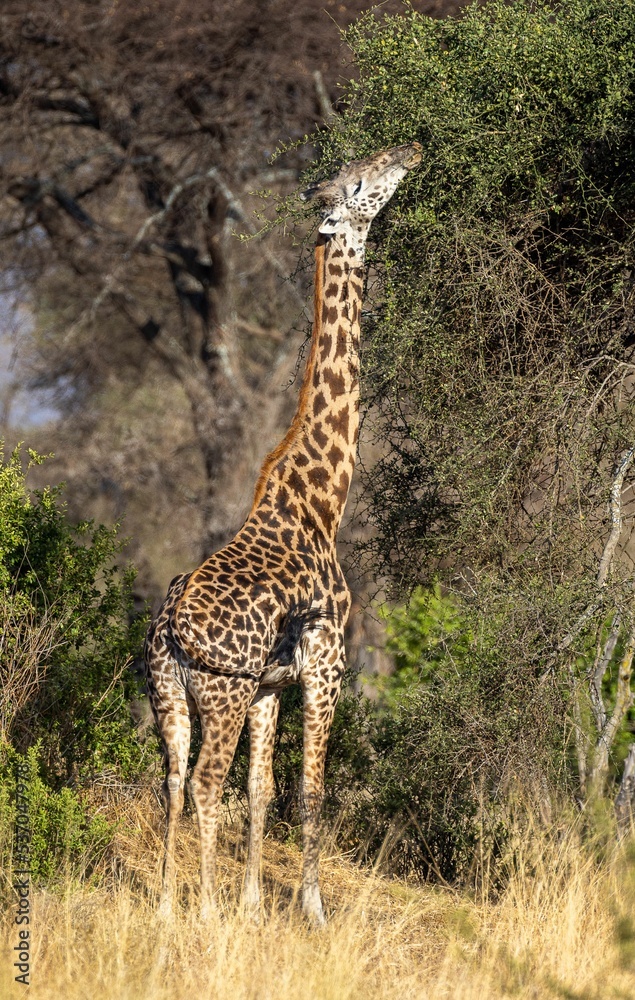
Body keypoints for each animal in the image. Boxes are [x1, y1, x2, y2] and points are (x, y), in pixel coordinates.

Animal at [144, 141, 422, 920]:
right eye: (362, 183)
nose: (411, 150)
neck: (322, 501)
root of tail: (169, 625)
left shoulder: (273, 682)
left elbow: (264, 789)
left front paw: (250, 907)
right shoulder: (327, 661)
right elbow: (312, 790)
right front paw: (312, 910)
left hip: (169, 693)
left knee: (173, 780)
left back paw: (171, 907)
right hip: (220, 692)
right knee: (204, 783)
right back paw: (202, 910)